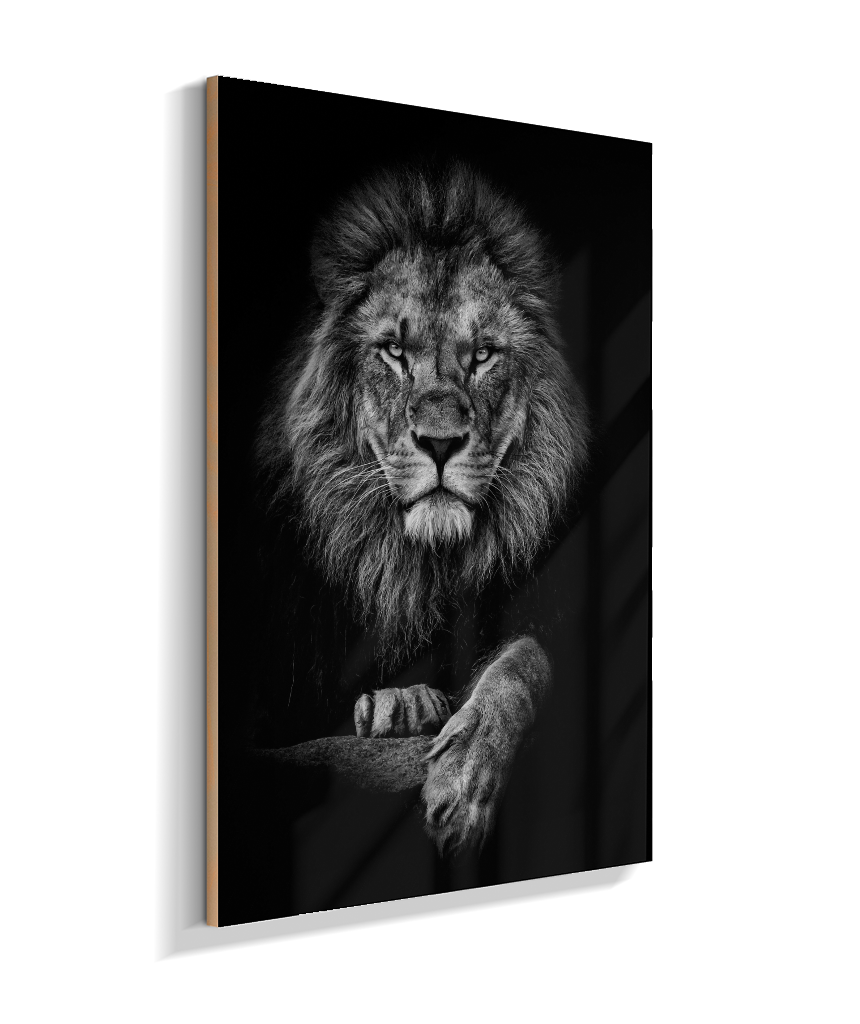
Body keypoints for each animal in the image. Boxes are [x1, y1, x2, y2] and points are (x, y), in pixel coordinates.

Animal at [254, 163, 590, 854]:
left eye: (483, 354)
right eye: (393, 351)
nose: (439, 442)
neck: (421, 565)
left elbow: (525, 658)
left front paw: (463, 776)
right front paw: (400, 708)